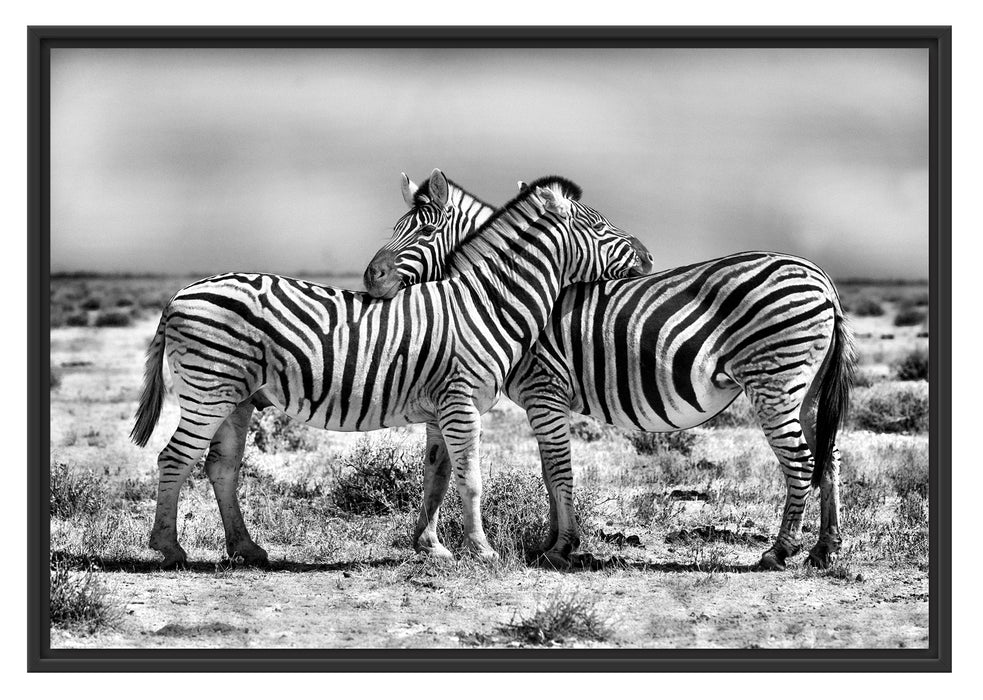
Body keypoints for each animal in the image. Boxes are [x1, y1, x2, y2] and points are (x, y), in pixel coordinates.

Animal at [130, 171, 652, 567]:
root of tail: (178, 295)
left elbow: (438, 476)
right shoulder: (461, 402)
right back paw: (169, 548)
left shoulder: (443, 408)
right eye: (600, 226)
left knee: (221, 466)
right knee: (173, 458)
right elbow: (471, 478)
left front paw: (433, 547)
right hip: (209, 388)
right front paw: (482, 551)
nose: (648, 257)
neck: (487, 303)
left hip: (235, 396)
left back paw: (246, 548)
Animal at [363, 175, 857, 571]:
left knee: (802, 461)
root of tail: (824, 280)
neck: (501, 294)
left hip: (773, 381)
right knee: (828, 456)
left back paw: (779, 551)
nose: (371, 278)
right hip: (805, 388)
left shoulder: (545, 389)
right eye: (395, 229)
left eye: (424, 230)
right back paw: (824, 550)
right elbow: (549, 472)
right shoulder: (546, 400)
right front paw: (550, 542)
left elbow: (558, 469)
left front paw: (561, 547)